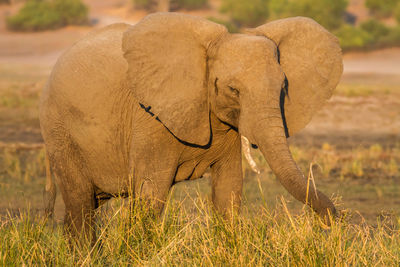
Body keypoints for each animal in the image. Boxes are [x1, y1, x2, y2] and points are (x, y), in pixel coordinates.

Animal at [39, 13, 342, 243]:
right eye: (233, 90)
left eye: (283, 89)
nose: (331, 223)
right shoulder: (150, 117)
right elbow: (151, 193)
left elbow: (229, 189)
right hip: (59, 130)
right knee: (80, 204)